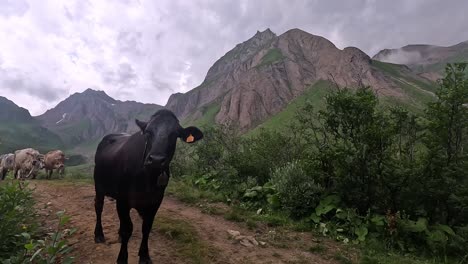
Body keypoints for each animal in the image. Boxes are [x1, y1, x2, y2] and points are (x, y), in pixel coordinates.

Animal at [94, 108, 204, 262]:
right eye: (148, 132)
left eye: (175, 134)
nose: (156, 159)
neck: (147, 178)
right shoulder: (123, 200)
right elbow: (127, 229)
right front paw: (122, 258)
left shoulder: (155, 201)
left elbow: (146, 227)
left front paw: (145, 255)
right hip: (99, 185)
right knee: (99, 207)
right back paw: (99, 234)